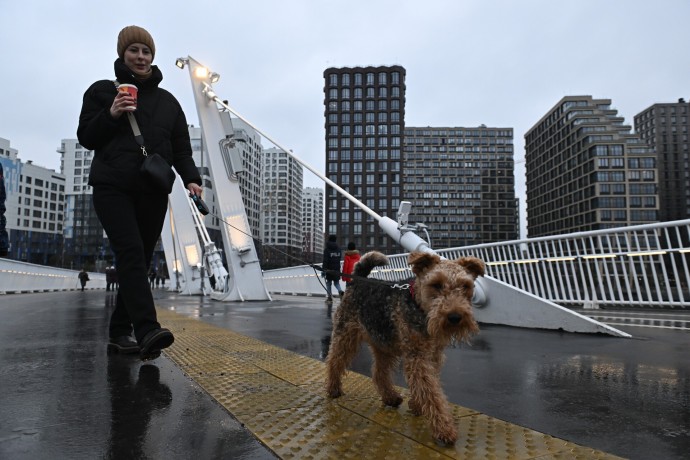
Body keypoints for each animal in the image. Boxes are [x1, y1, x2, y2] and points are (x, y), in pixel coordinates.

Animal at [324, 252, 482, 446]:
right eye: (436, 284)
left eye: (465, 286)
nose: (455, 317)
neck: (420, 307)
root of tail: (358, 281)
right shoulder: (417, 356)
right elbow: (431, 392)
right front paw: (444, 430)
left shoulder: (433, 355)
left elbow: (428, 386)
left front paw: (417, 405)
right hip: (346, 336)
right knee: (334, 361)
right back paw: (333, 389)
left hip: (383, 345)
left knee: (379, 373)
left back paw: (390, 397)